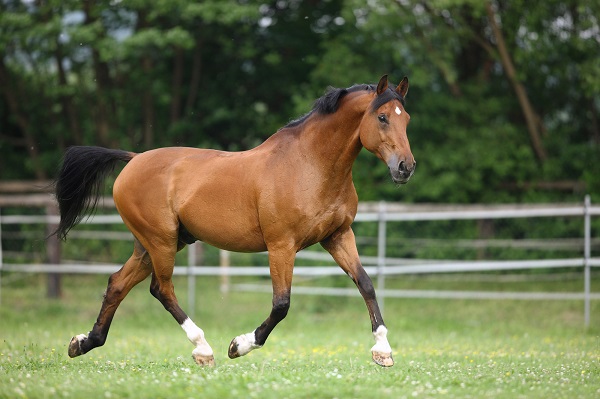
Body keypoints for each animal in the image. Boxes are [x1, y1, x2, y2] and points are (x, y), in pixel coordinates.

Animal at [54, 75, 414, 368]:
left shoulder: (338, 236)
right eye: (382, 117)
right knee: (162, 289)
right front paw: (239, 345)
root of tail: (134, 159)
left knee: (118, 283)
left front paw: (383, 351)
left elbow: (366, 283)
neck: (309, 165)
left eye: (406, 118)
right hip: (161, 241)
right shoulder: (281, 245)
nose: (405, 168)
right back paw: (203, 349)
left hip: (154, 244)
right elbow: (281, 304)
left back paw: (83, 343)